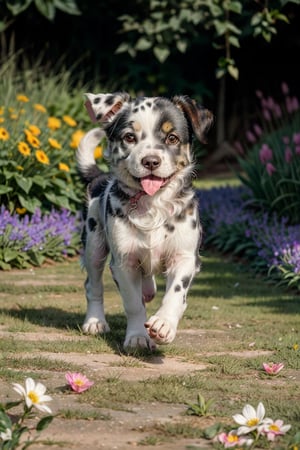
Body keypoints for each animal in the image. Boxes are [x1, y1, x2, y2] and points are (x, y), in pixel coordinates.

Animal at [77, 92, 213, 352]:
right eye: (130, 137)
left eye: (172, 137)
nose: (151, 161)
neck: (153, 205)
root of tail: (101, 177)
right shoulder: (123, 261)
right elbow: (132, 303)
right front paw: (137, 337)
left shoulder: (186, 256)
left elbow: (176, 293)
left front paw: (164, 324)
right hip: (93, 244)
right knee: (92, 285)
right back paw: (95, 321)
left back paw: (149, 291)